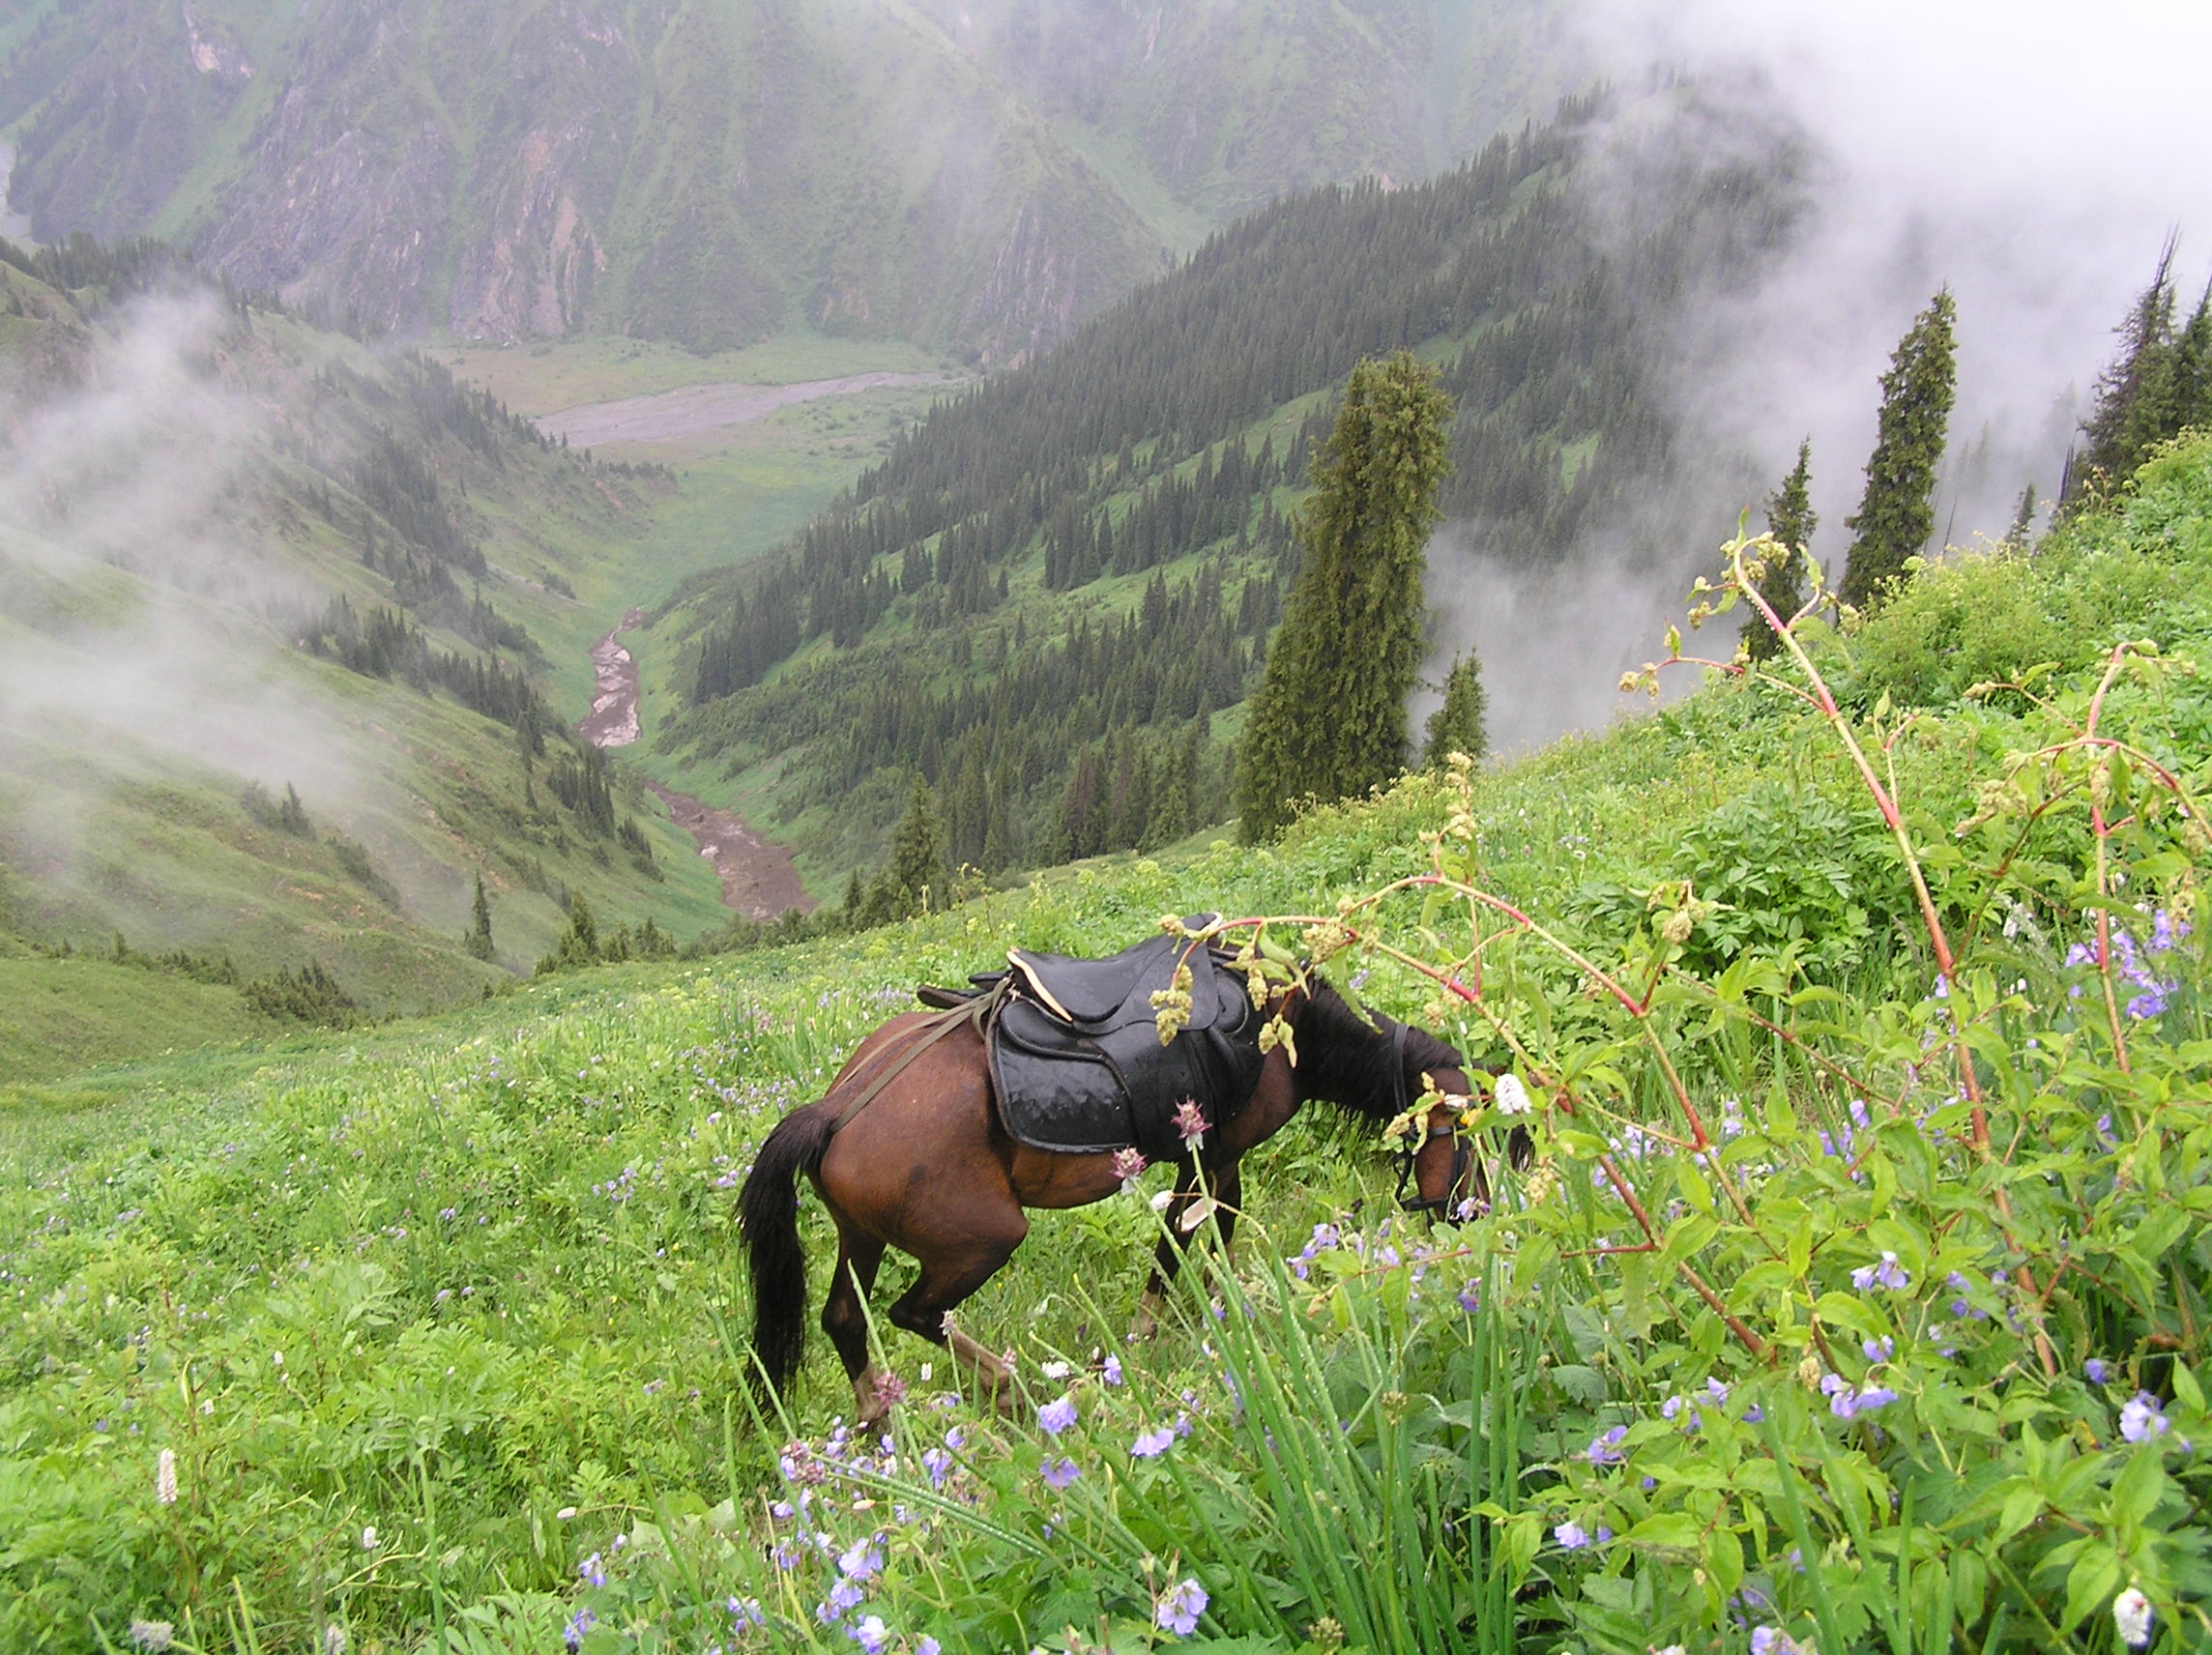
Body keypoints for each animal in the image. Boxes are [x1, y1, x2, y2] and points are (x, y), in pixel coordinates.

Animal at [739, 969, 1486, 1424]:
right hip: (982, 1238)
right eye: (1484, 1144)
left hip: (861, 1235)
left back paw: (878, 1421)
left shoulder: (1217, 1159)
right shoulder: (1212, 1155)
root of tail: (833, 1110)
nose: (1473, 1225)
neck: (1280, 1030)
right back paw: (1014, 1389)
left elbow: (1209, 1237)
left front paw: (1215, 1307)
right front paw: (1154, 1332)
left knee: (844, 1318)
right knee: (914, 1313)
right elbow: (1178, 1245)